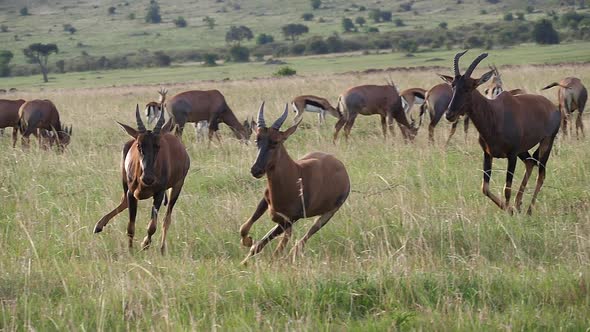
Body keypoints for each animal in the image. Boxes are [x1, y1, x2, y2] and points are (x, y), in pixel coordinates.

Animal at [93, 106, 190, 254]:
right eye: (139, 145)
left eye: (158, 145)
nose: (148, 178)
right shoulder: (131, 193)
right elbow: (130, 227)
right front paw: (130, 251)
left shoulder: (159, 194)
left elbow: (152, 226)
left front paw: (144, 244)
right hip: (124, 182)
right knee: (124, 202)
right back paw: (98, 225)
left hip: (177, 186)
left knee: (166, 219)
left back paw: (162, 249)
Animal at [240, 102, 352, 264]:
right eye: (257, 140)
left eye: (275, 142)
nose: (256, 170)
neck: (295, 173)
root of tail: (341, 166)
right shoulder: (265, 203)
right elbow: (245, 229)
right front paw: (247, 245)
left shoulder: (291, 219)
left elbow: (261, 244)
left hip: (328, 213)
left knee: (300, 240)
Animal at [446, 50, 560, 214]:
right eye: (453, 86)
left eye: (469, 87)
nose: (449, 114)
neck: (494, 114)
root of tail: (553, 107)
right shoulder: (487, 154)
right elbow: (485, 188)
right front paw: (510, 209)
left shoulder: (511, 156)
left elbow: (507, 188)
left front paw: (510, 212)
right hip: (522, 150)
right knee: (530, 163)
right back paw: (518, 204)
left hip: (546, 142)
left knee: (541, 174)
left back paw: (529, 210)